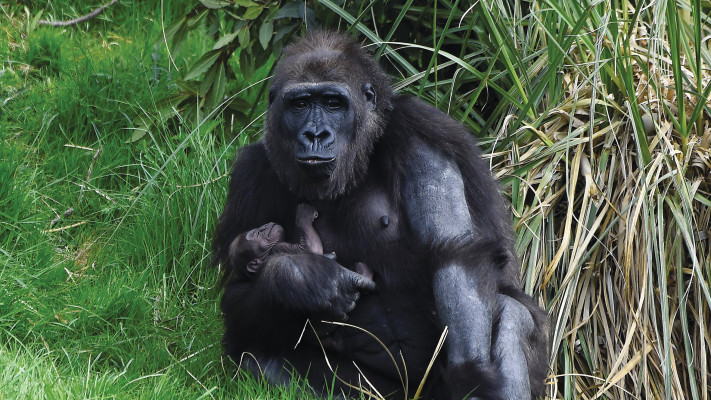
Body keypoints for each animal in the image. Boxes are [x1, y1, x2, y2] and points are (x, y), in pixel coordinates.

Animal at [229, 205, 376, 280]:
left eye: (258, 229)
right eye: (257, 233)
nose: (264, 226)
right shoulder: (278, 248)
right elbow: (310, 250)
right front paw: (304, 214)